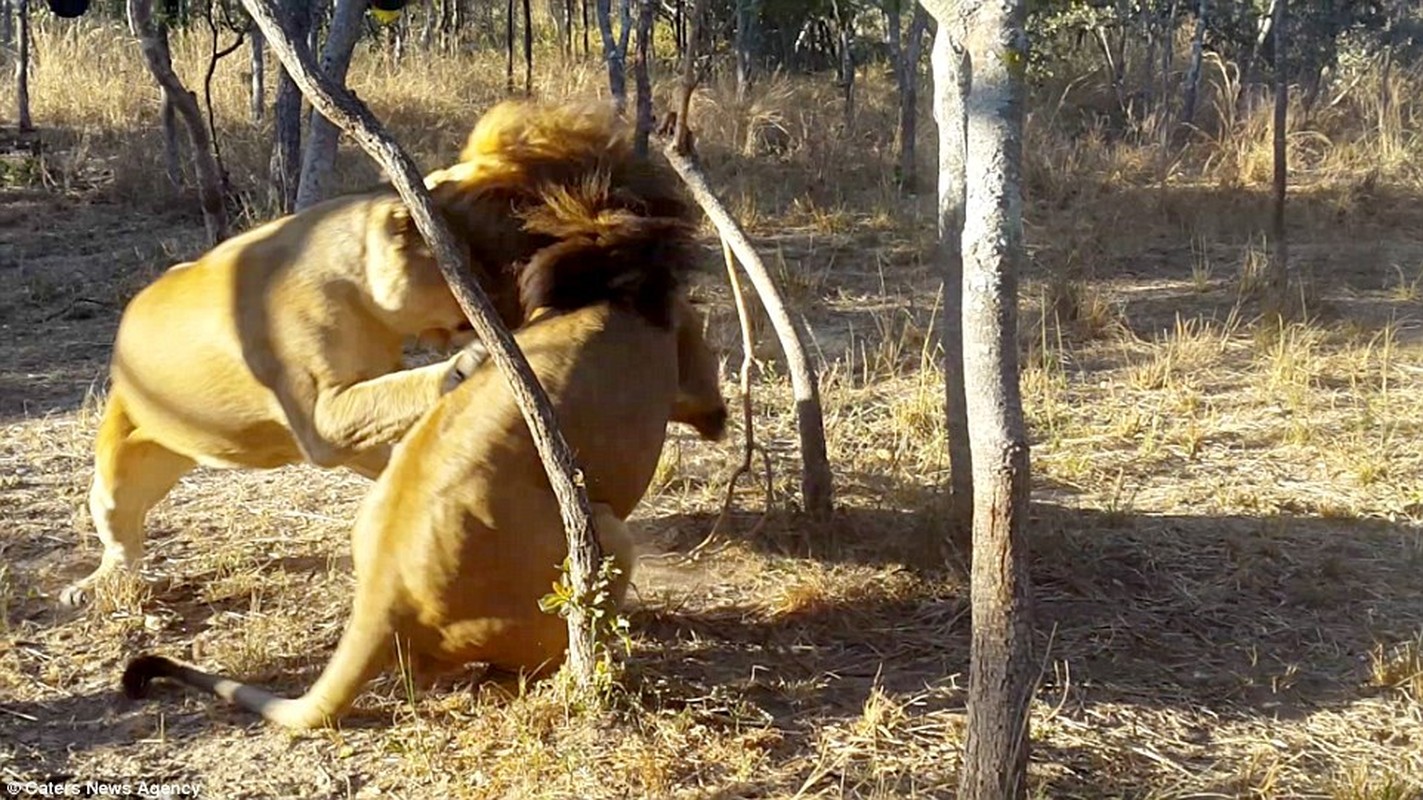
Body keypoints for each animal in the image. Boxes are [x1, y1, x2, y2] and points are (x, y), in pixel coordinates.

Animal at [62, 98, 728, 603]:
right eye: (480, 271)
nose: (517, 312)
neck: (356, 287)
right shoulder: (320, 418)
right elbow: (401, 389)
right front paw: (474, 363)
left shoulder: (354, 409)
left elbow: (391, 400)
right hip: (116, 472)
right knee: (120, 536)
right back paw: (94, 587)